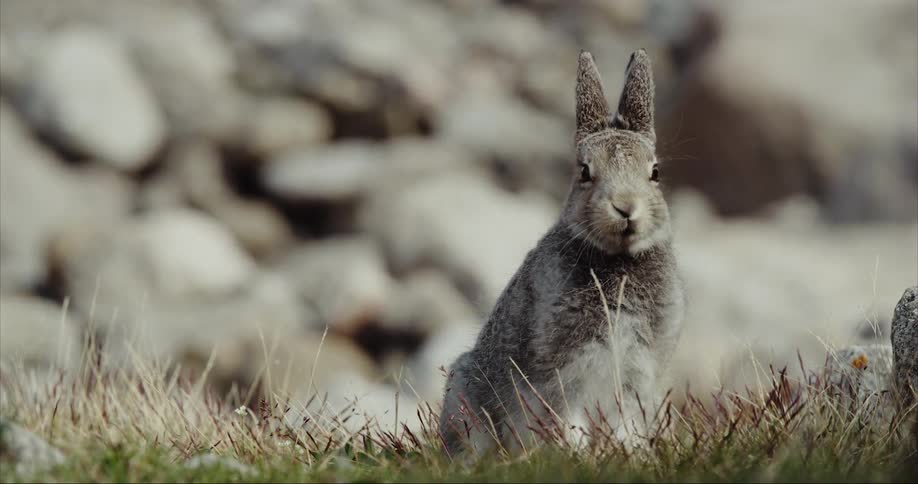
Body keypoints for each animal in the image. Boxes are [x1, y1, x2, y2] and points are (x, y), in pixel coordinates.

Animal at [438, 49, 685, 456]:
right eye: (584, 172)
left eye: (656, 173)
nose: (625, 207)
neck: (617, 260)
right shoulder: (564, 377)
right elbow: (569, 420)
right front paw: (577, 455)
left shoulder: (638, 375)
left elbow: (628, 425)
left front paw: (629, 455)